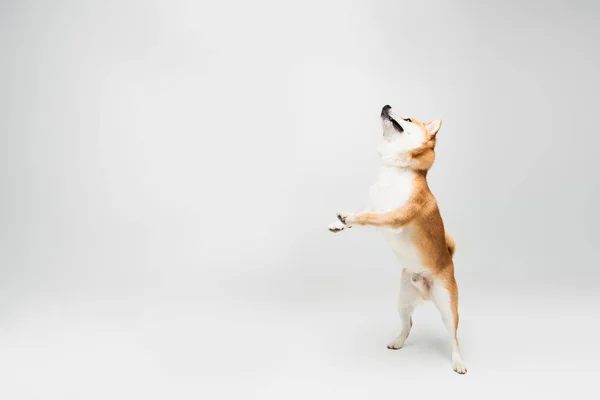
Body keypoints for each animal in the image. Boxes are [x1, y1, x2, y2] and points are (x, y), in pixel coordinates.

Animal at [330, 104, 466, 374]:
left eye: (408, 119)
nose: (387, 105)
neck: (395, 172)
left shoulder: (394, 217)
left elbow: (369, 217)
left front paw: (348, 217)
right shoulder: (375, 204)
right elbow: (365, 213)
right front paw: (339, 224)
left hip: (447, 306)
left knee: (453, 337)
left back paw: (458, 362)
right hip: (403, 301)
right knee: (408, 323)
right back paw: (398, 341)